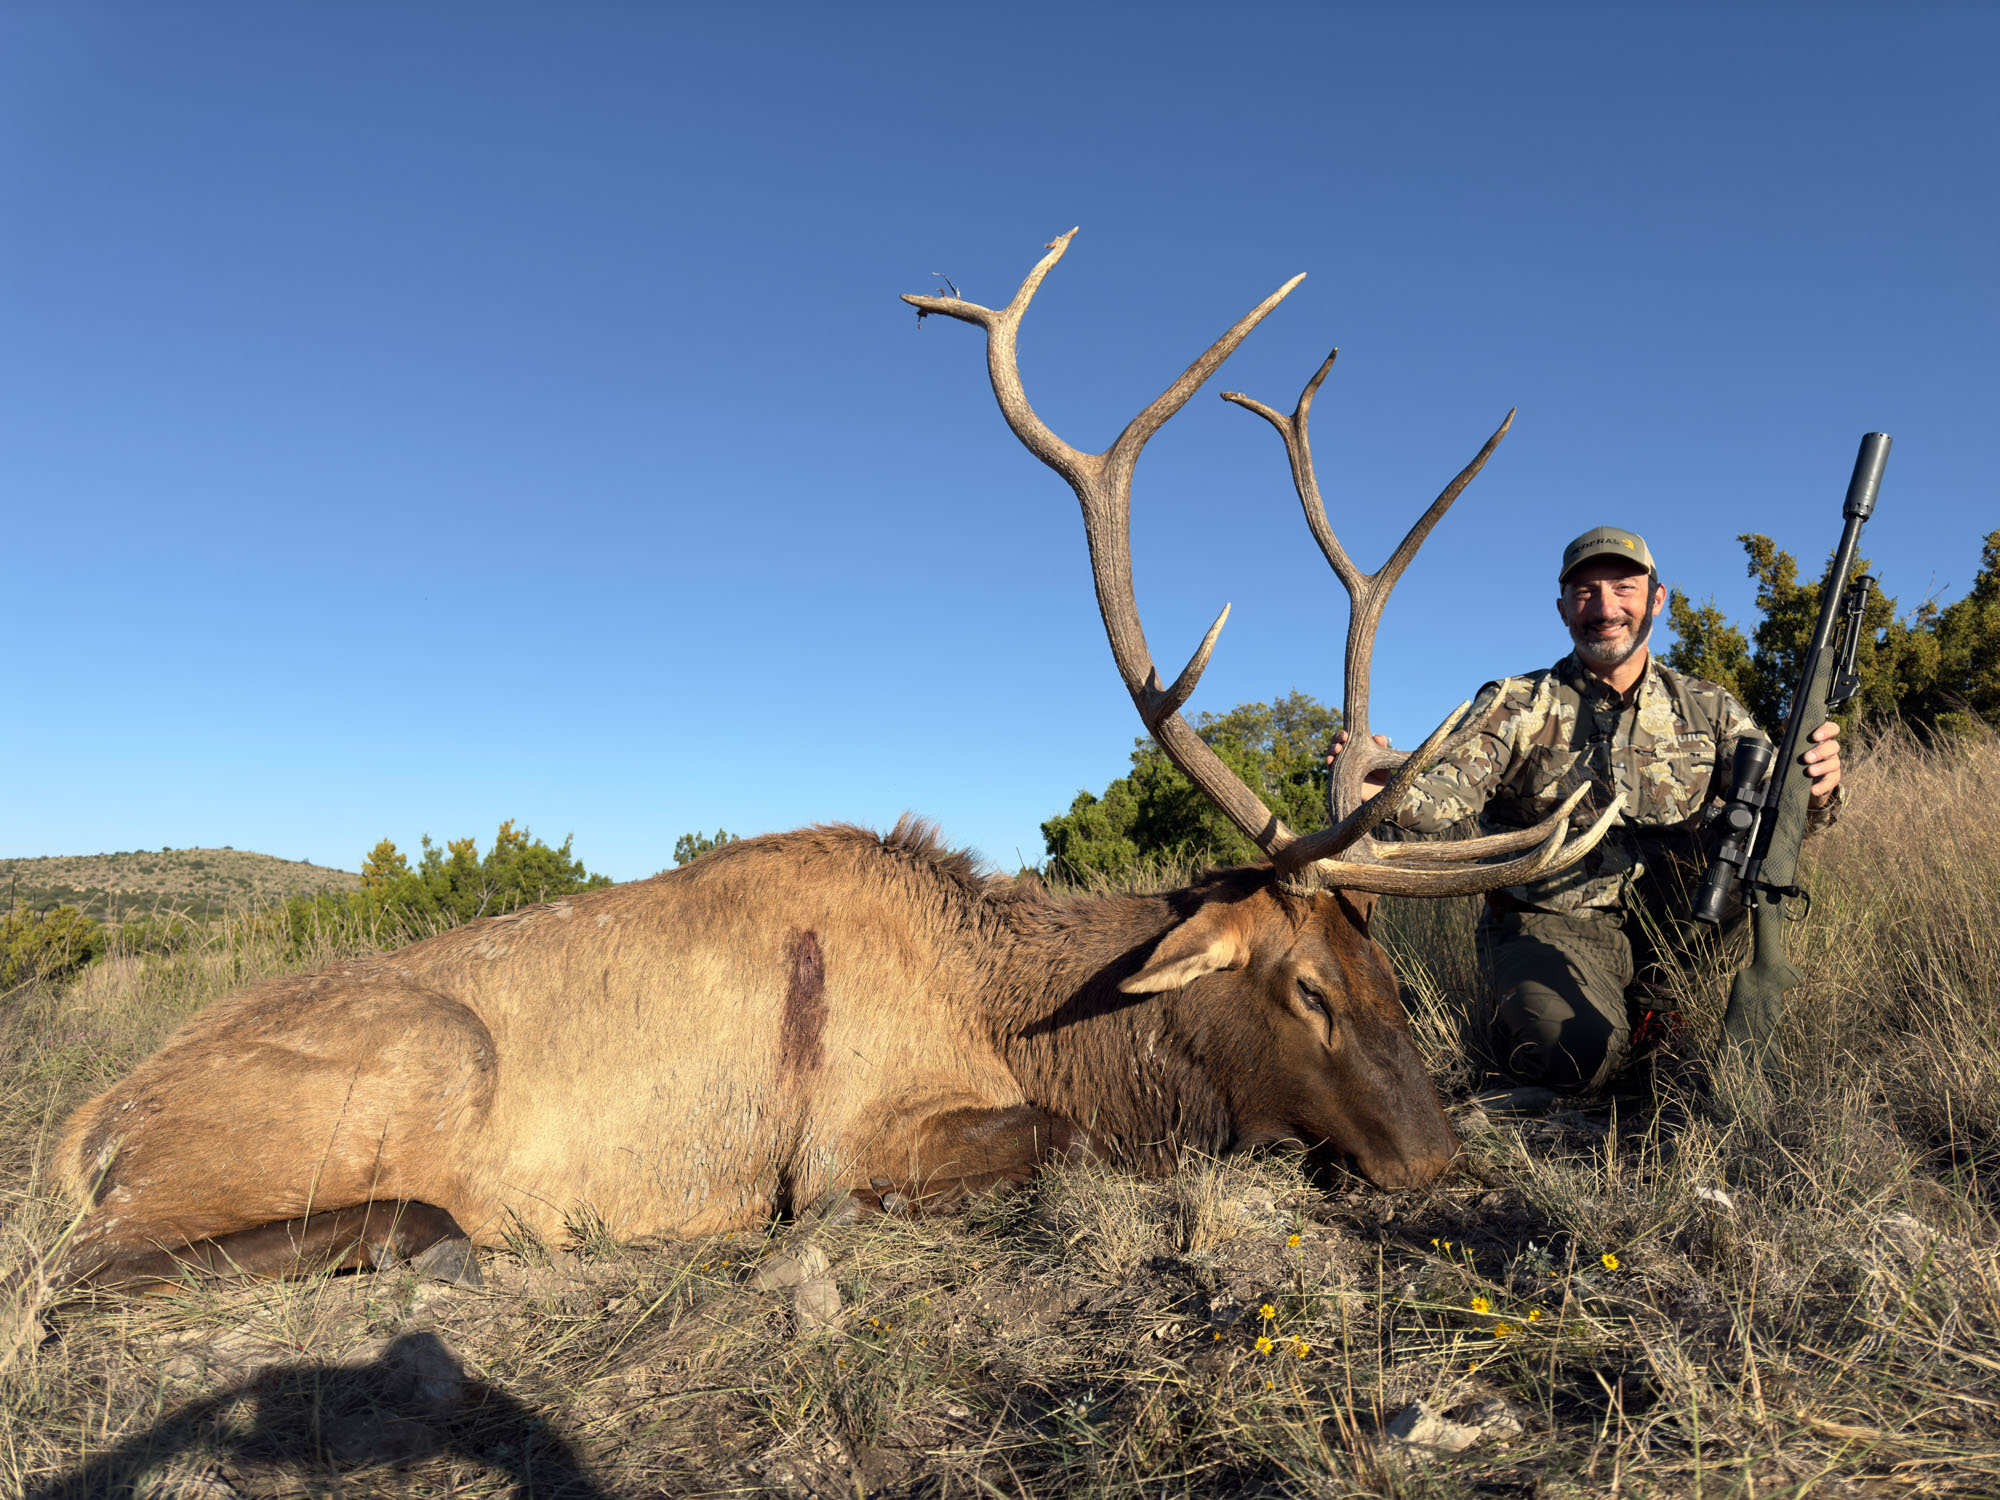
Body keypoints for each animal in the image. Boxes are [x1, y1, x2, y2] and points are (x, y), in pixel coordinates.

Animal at [43, 229, 1608, 1296]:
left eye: (1387, 974)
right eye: (1303, 990)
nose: (1435, 1159)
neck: (1023, 1007)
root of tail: (86, 1122)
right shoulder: (851, 1138)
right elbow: (1054, 1142)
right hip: (415, 1064)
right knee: (90, 1268)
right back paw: (437, 1243)